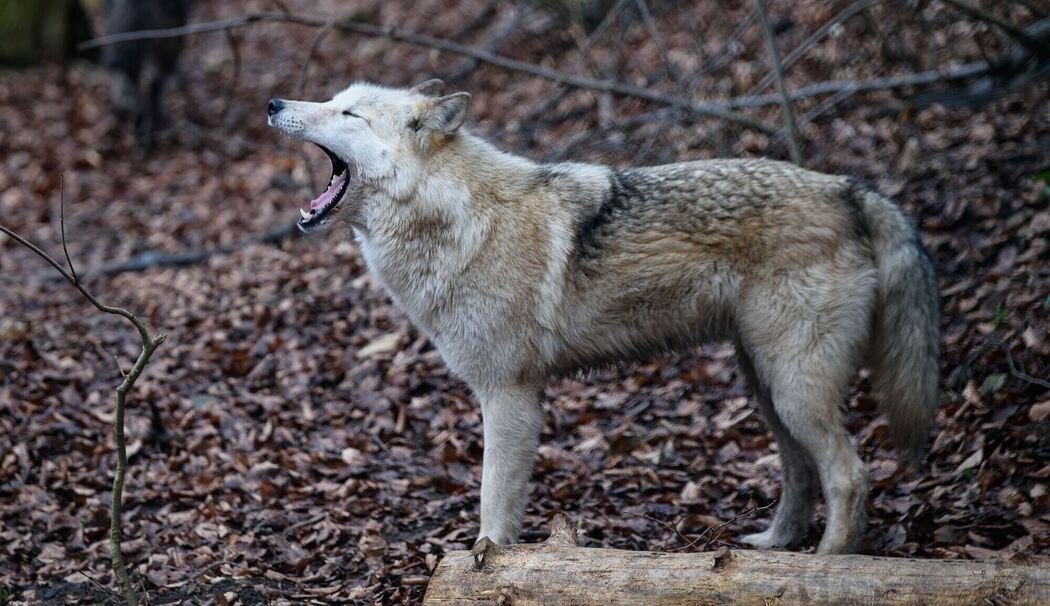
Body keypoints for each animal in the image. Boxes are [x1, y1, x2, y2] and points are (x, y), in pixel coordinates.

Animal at [266, 79, 940, 555]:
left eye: (350, 115)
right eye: (333, 100)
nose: (273, 102)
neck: (459, 217)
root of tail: (849, 189)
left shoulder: (509, 395)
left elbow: (493, 505)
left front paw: (485, 563)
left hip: (794, 386)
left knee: (851, 477)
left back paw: (827, 565)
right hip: (767, 385)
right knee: (801, 473)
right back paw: (775, 548)